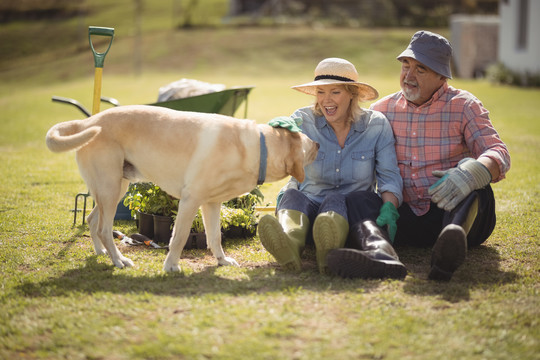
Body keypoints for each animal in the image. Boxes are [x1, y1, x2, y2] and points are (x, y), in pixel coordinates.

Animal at [47, 105, 316, 272]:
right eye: (306, 140)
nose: (319, 144)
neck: (258, 147)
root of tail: (89, 121)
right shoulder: (190, 199)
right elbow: (179, 236)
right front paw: (171, 266)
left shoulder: (212, 203)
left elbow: (215, 236)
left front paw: (222, 261)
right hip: (110, 188)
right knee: (104, 228)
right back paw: (119, 260)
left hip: (112, 189)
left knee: (92, 221)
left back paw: (102, 253)